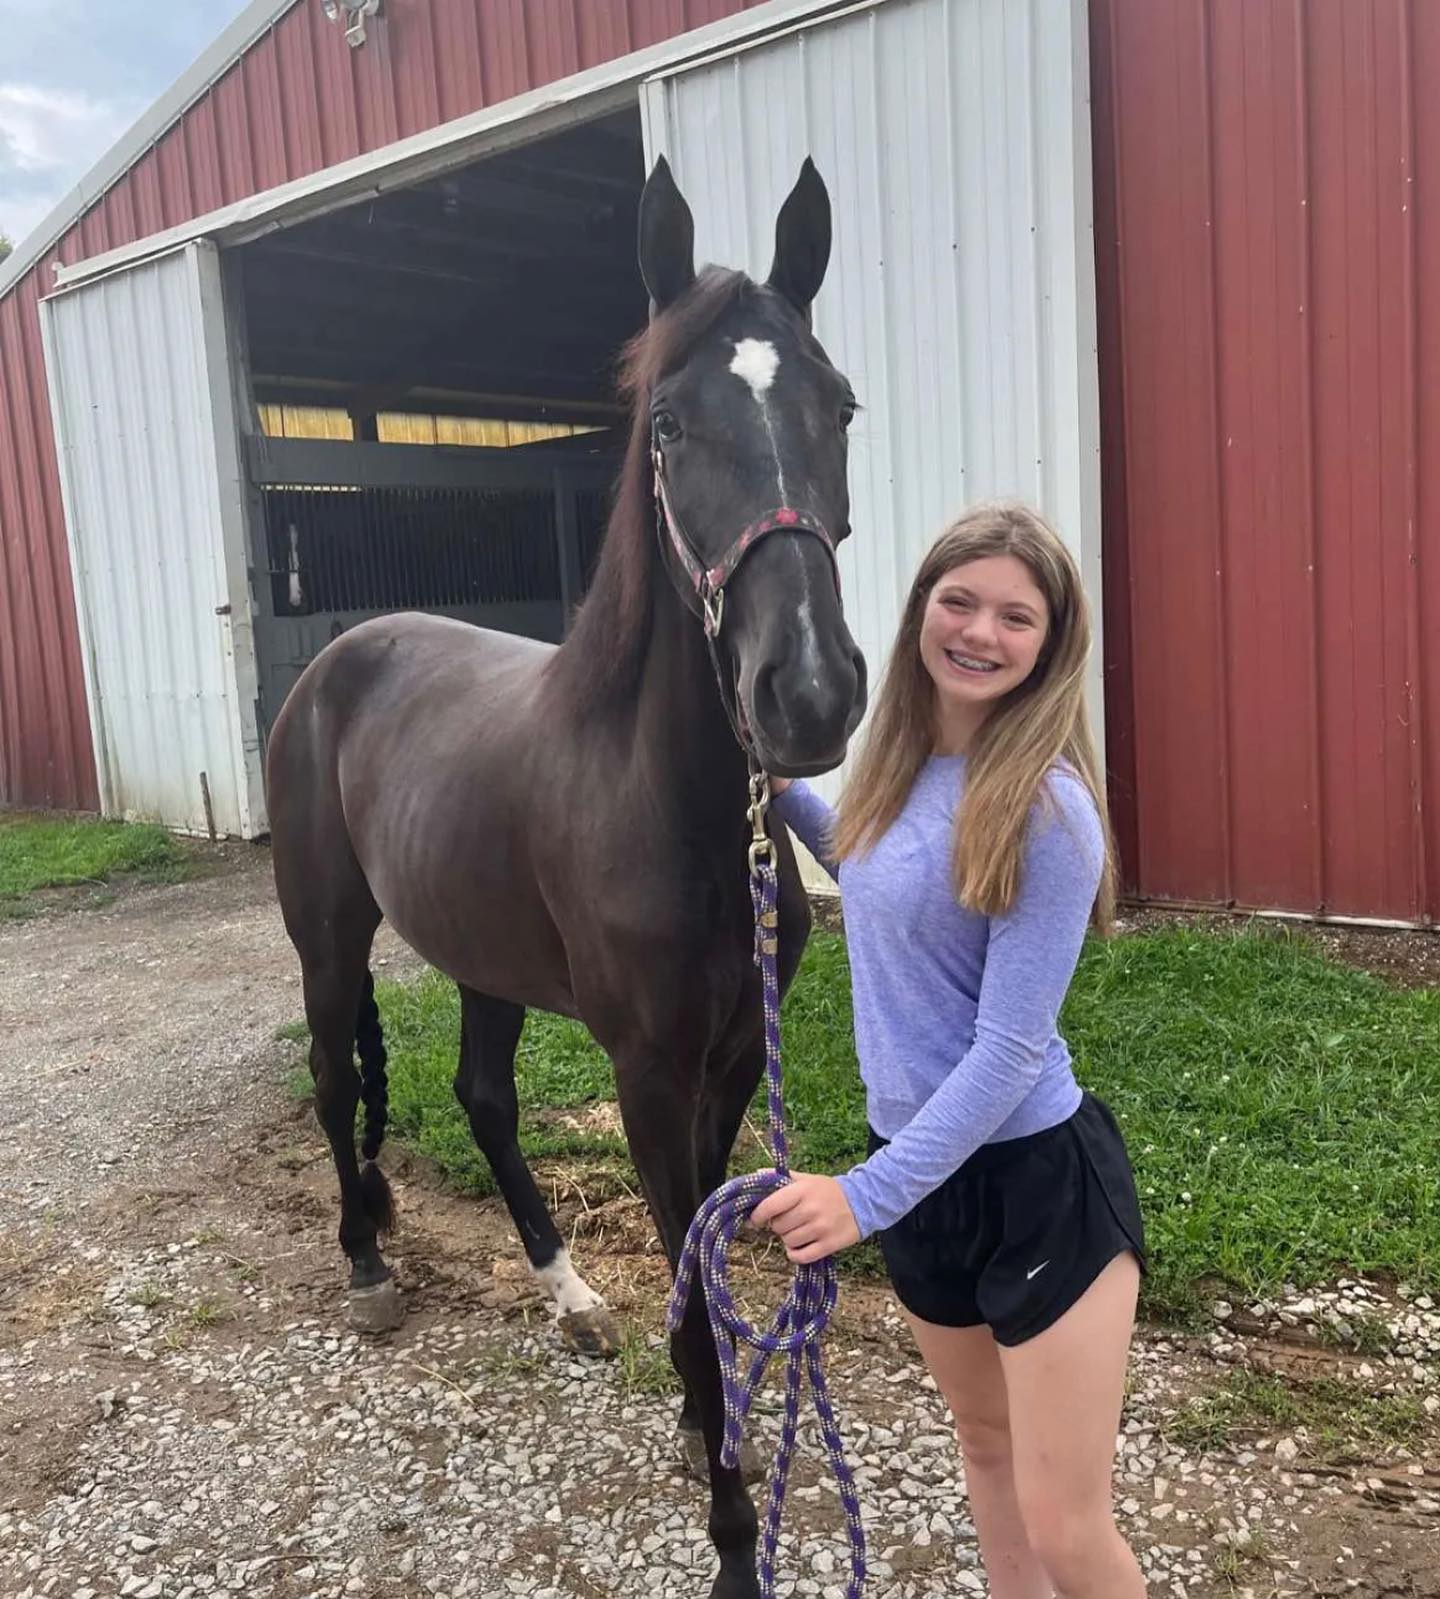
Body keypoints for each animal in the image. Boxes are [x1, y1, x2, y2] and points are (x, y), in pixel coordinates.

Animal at [265, 154, 866, 1599]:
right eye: (669, 427)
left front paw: (715, 1432)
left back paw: (569, 1293)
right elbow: (695, 1287)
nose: (810, 692)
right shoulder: (647, 1073)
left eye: (839, 404)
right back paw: (367, 1266)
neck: (670, 802)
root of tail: (338, 658)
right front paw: (730, 1538)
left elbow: (708, 1255)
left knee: (483, 1098)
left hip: (481, 954)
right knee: (334, 1081)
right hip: (328, 935)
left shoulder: (727, 1063)